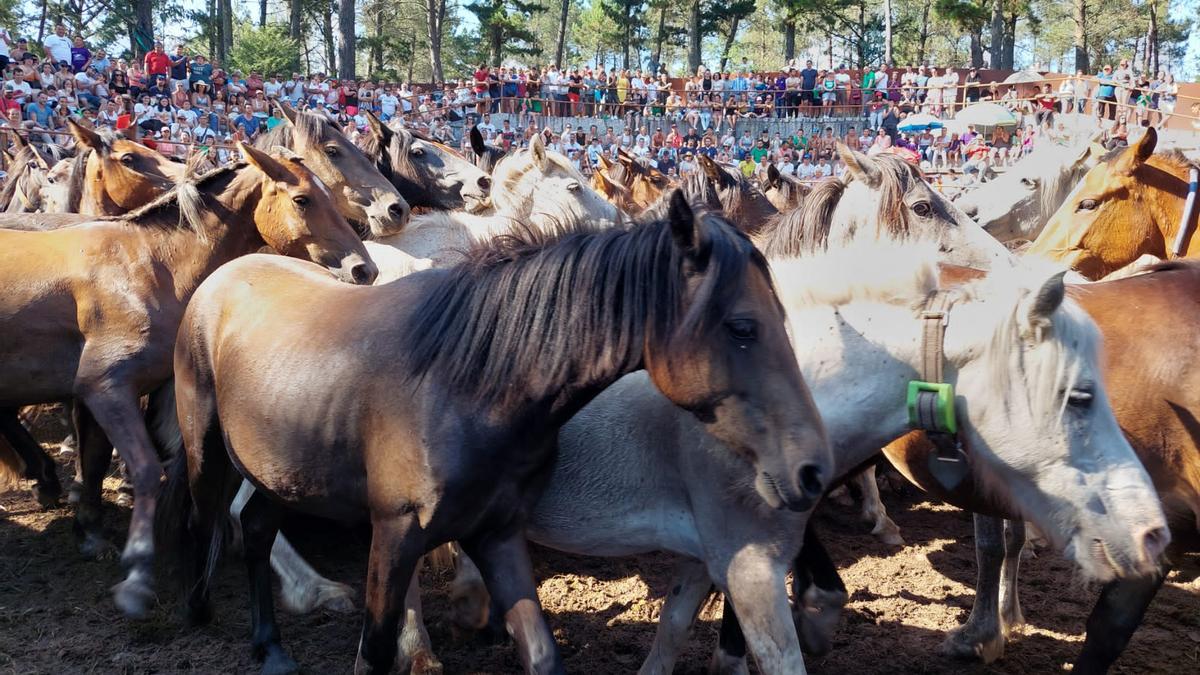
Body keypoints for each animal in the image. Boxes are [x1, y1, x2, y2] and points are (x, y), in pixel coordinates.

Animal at [0, 144, 374, 619]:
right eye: (302, 199)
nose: (364, 269)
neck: (148, 265)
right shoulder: (105, 387)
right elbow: (146, 471)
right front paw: (138, 574)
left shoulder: (99, 393)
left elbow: (97, 459)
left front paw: (90, 532)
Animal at [164, 190, 830, 672]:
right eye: (742, 327)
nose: (812, 469)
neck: (467, 385)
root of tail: (223, 274)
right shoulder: (395, 534)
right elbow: (375, 653)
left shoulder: (498, 532)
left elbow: (540, 652)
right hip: (208, 449)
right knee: (204, 519)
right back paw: (195, 608)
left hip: (280, 472)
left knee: (254, 528)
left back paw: (271, 647)